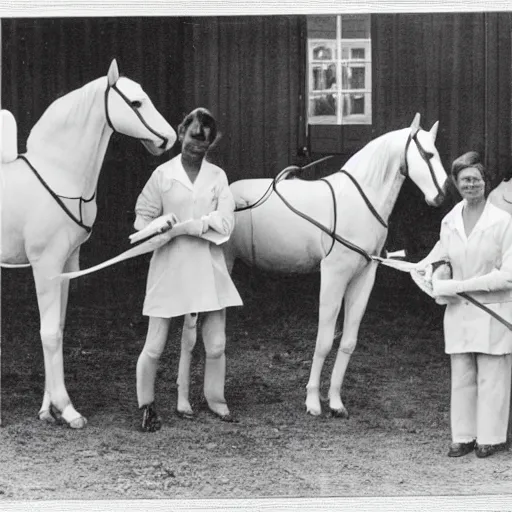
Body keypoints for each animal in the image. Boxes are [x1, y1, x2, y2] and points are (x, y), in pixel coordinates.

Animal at [1, 59, 178, 428]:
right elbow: (49, 333)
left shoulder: (67, 265)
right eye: (136, 103)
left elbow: (57, 327)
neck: (59, 177)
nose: (169, 138)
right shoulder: (45, 266)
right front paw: (68, 410)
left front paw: (48, 409)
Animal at [178, 112, 450, 416]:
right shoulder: (333, 274)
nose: (441, 195)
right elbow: (324, 339)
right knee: (191, 332)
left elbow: (348, 341)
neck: (358, 201)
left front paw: (336, 402)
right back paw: (185, 403)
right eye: (428, 154)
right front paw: (312, 401)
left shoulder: (364, 276)